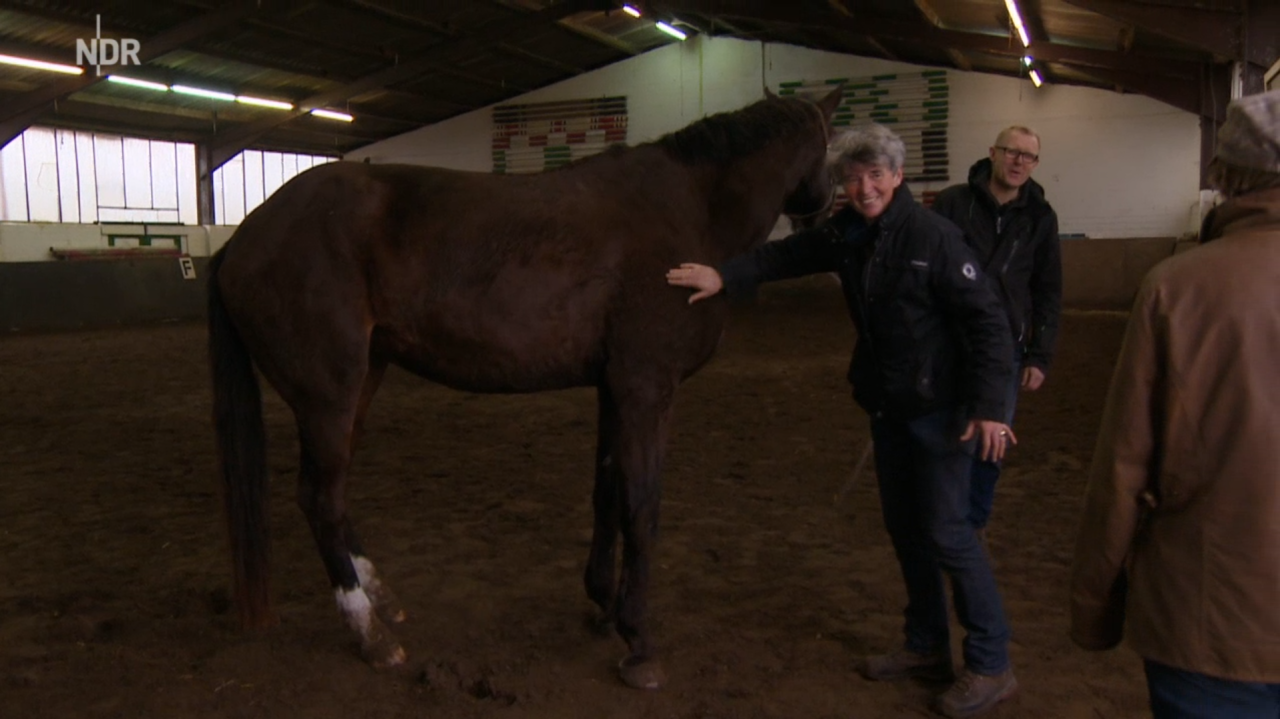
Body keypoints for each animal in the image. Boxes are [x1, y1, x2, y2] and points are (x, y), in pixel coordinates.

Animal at [209, 86, 844, 685]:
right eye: (833, 142)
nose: (824, 212)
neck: (688, 210)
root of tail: (244, 237)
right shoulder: (647, 388)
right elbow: (642, 506)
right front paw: (639, 640)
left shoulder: (613, 388)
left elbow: (607, 493)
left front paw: (602, 606)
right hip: (329, 396)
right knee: (317, 498)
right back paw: (371, 634)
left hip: (364, 380)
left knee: (334, 498)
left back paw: (383, 602)